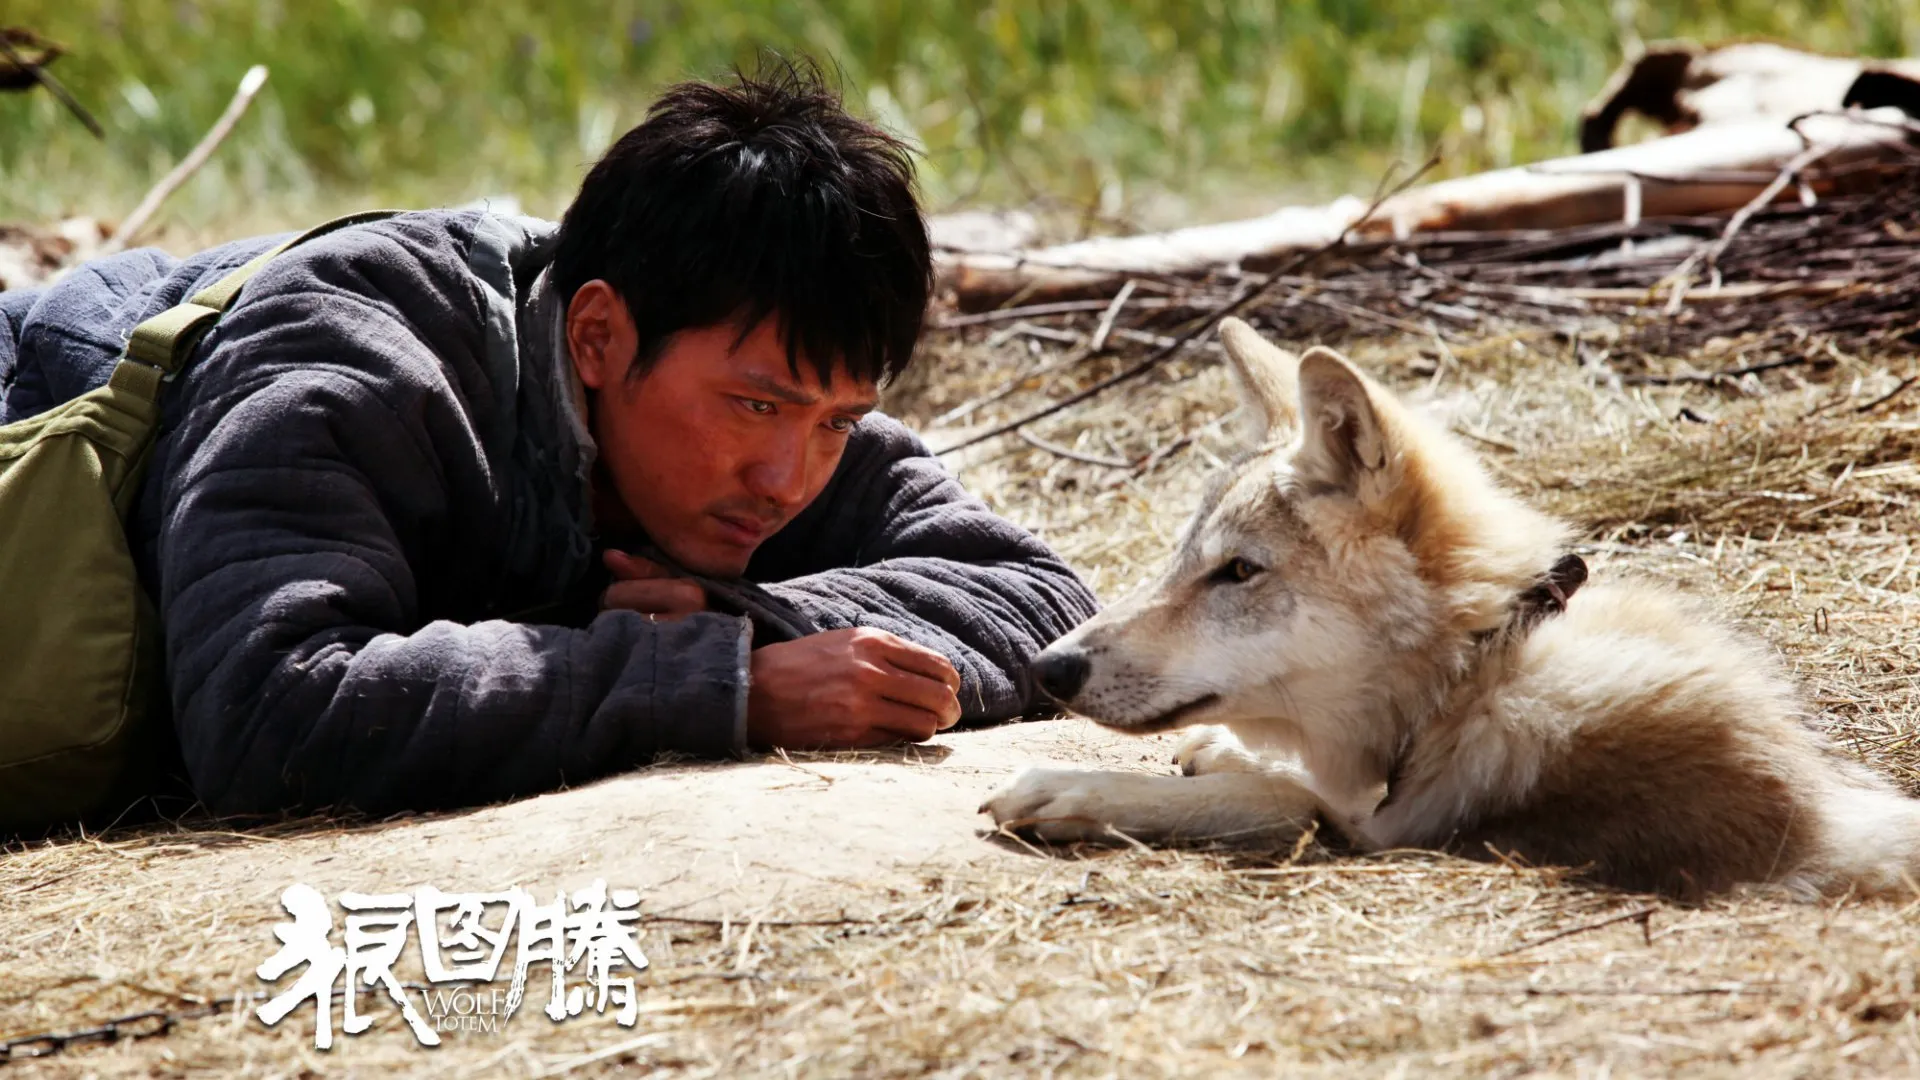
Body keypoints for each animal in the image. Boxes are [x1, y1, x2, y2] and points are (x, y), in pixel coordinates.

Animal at [983, 318, 1920, 900]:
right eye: (1185, 557)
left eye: (1238, 571)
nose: (1049, 665)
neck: (1477, 667)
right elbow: (1277, 774)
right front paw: (1217, 749)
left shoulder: (1391, 830)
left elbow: (1281, 796)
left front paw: (1076, 791)